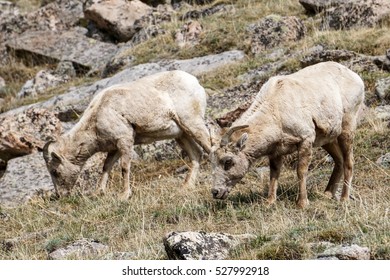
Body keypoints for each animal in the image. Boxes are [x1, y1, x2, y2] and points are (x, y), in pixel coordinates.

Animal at [43, 70, 212, 199]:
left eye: (54, 171)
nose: (60, 195)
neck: (97, 115)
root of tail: (195, 82)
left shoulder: (124, 140)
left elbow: (124, 167)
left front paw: (124, 195)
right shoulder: (114, 148)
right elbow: (106, 166)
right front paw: (99, 192)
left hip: (193, 123)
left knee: (211, 147)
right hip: (181, 134)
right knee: (196, 154)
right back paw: (186, 186)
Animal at [210, 61, 366, 207]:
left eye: (228, 161)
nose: (215, 192)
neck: (276, 111)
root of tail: (355, 77)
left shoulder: (305, 140)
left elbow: (301, 171)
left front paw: (302, 203)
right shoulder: (275, 152)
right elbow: (274, 174)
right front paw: (270, 202)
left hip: (347, 129)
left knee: (349, 161)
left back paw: (344, 199)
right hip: (328, 140)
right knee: (339, 161)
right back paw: (327, 194)